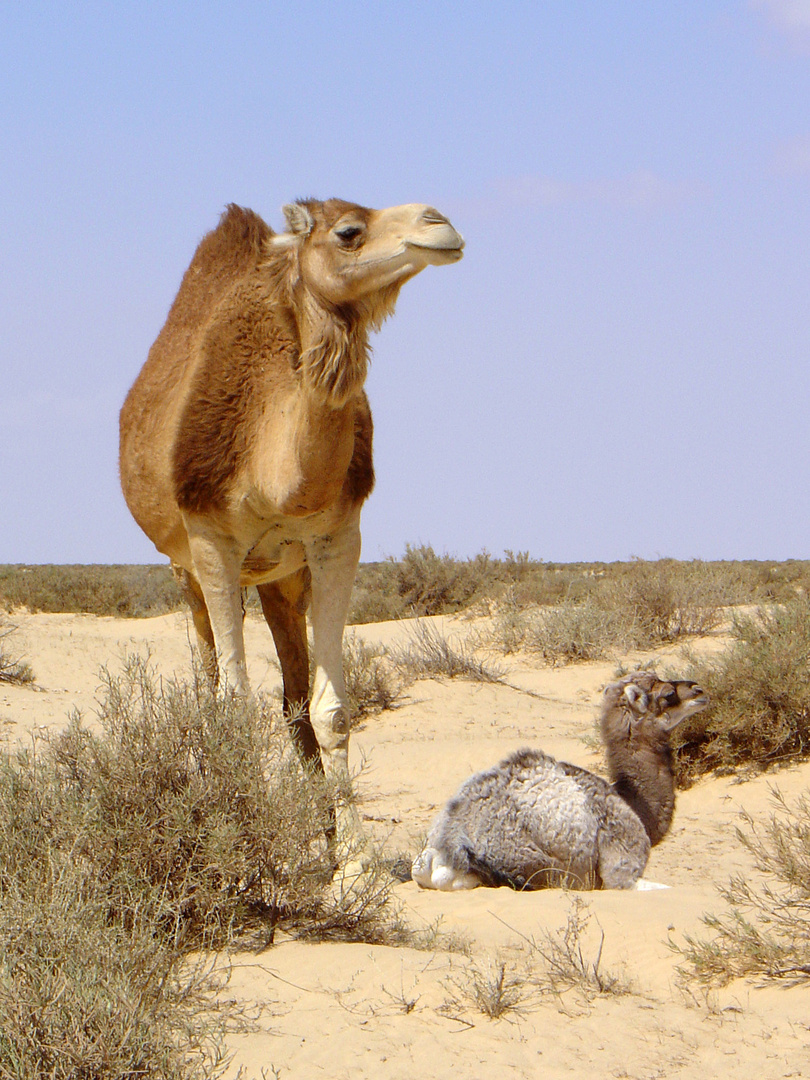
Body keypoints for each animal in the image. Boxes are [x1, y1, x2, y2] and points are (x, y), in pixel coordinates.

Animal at [118, 198, 466, 859]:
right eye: (349, 232)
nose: (440, 223)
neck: (270, 466)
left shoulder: (336, 539)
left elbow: (331, 709)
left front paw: (350, 860)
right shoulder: (211, 543)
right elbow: (232, 705)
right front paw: (237, 843)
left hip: (282, 577)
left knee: (294, 695)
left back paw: (320, 832)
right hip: (185, 571)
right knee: (208, 687)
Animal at [414, 669, 708, 889]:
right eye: (667, 694)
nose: (698, 690)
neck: (631, 804)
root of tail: (446, 846)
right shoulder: (623, 863)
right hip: (541, 868)